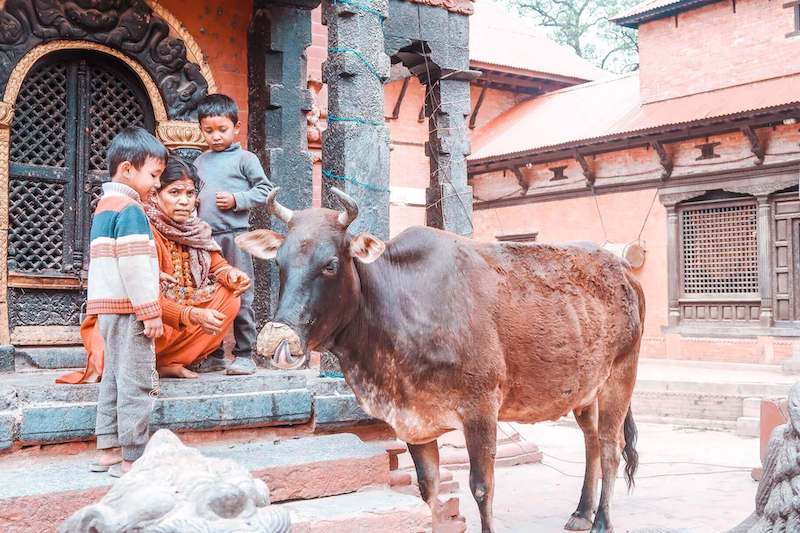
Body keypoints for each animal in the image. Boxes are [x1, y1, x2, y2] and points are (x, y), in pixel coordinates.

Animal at [234, 187, 640, 532]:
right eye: (280, 263)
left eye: (330, 264)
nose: (275, 339)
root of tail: (622, 268)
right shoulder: (414, 420)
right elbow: (427, 488)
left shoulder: (481, 408)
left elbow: (481, 487)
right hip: (585, 391)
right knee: (590, 442)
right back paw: (581, 513)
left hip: (621, 376)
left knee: (610, 448)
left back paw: (602, 521)